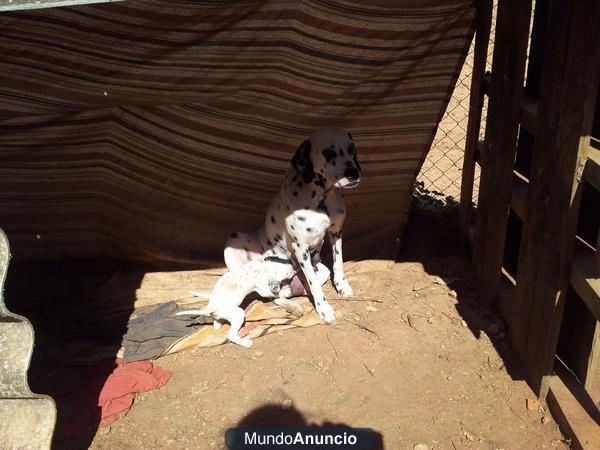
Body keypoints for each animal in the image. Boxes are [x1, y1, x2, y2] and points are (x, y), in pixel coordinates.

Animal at [221, 126, 358, 324]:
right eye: (328, 152)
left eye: (352, 148)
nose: (354, 173)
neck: (322, 199)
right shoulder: (301, 248)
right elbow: (314, 284)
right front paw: (324, 309)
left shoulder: (336, 232)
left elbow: (338, 263)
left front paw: (342, 287)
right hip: (234, 242)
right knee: (268, 295)